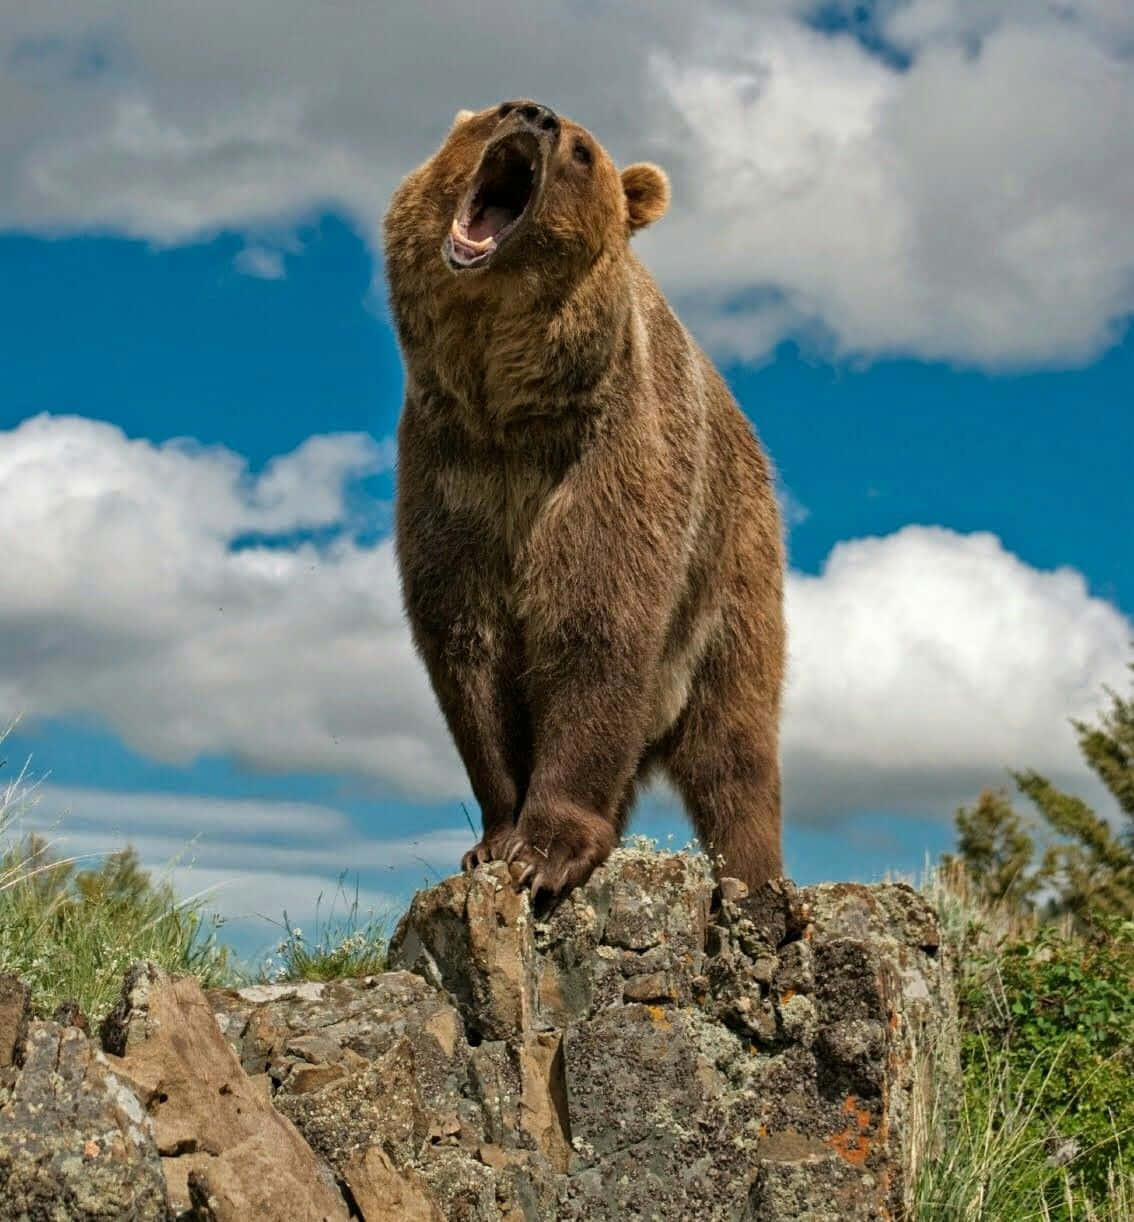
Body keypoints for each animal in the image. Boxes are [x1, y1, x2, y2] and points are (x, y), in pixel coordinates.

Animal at [384, 100, 785, 901]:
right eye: (494, 111)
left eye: (582, 150)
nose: (534, 115)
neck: (505, 405)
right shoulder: (452, 474)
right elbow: (466, 644)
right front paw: (494, 838)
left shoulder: (605, 463)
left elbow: (594, 623)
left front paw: (547, 851)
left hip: (732, 568)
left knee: (734, 742)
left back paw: (752, 881)